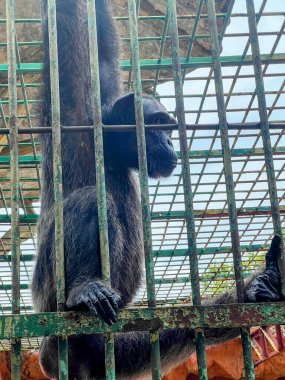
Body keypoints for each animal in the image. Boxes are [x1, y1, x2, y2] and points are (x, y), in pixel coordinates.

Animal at [32, 0, 282, 378]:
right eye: (159, 126)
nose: (171, 144)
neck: (110, 151)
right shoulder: (72, 114)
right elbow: (66, 35)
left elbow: (101, 53)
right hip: (53, 315)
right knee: (91, 201)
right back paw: (84, 289)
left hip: (121, 351)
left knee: (183, 328)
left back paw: (258, 288)